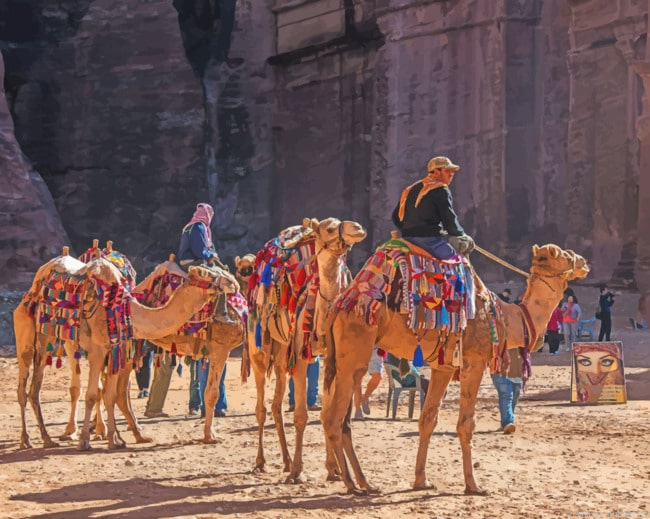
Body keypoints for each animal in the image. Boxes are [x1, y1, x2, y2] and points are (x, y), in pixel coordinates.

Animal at [15, 249, 236, 450]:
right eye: (209, 274)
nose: (233, 282)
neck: (125, 309)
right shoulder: (97, 350)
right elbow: (93, 394)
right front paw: (85, 441)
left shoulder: (115, 350)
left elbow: (110, 394)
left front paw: (115, 440)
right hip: (27, 332)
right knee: (24, 387)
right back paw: (27, 439)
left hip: (50, 340)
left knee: (35, 389)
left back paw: (47, 438)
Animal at [248, 217, 366, 483]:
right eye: (330, 229)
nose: (357, 227)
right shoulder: (301, 358)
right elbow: (301, 416)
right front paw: (297, 472)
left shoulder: (329, 357)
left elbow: (325, 415)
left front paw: (333, 469)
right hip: (258, 346)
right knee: (261, 407)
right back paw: (262, 462)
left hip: (282, 352)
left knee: (276, 405)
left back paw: (285, 460)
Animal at [321, 243, 589, 495]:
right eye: (564, 255)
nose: (583, 262)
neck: (506, 317)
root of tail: (338, 307)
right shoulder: (474, 362)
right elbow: (466, 424)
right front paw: (474, 485)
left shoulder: (444, 367)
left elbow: (427, 419)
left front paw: (421, 481)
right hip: (353, 352)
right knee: (334, 419)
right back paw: (351, 483)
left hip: (344, 363)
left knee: (337, 419)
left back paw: (364, 482)